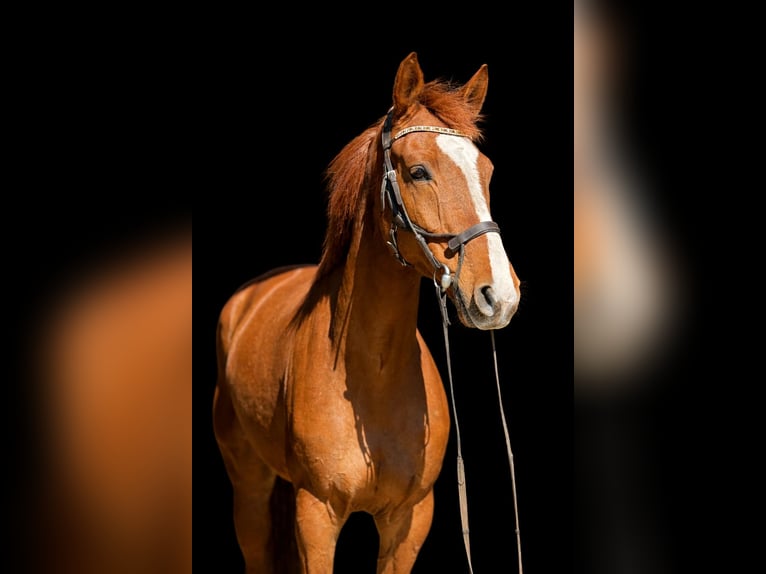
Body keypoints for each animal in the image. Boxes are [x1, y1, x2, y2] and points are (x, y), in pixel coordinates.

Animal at [213, 52, 521, 573]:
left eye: (488, 170)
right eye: (418, 171)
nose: (499, 295)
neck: (371, 375)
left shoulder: (409, 521)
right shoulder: (316, 516)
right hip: (248, 489)